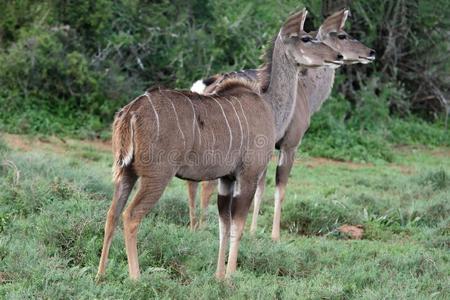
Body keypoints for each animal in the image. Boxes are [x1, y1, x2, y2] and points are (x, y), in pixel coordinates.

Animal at [96, 9, 342, 282]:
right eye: (306, 38)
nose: (338, 56)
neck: (269, 107)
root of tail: (130, 112)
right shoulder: (247, 175)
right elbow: (238, 224)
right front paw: (232, 275)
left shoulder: (227, 179)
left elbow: (224, 224)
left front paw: (218, 276)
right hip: (156, 176)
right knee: (131, 216)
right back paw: (136, 278)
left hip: (125, 172)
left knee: (111, 213)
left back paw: (100, 276)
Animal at [185, 9, 374, 240]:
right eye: (342, 35)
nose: (371, 52)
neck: (305, 91)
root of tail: (207, 85)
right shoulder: (289, 145)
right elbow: (280, 188)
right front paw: (275, 236)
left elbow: (260, 188)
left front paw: (253, 231)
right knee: (207, 183)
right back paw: (201, 227)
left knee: (193, 182)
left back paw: (193, 226)